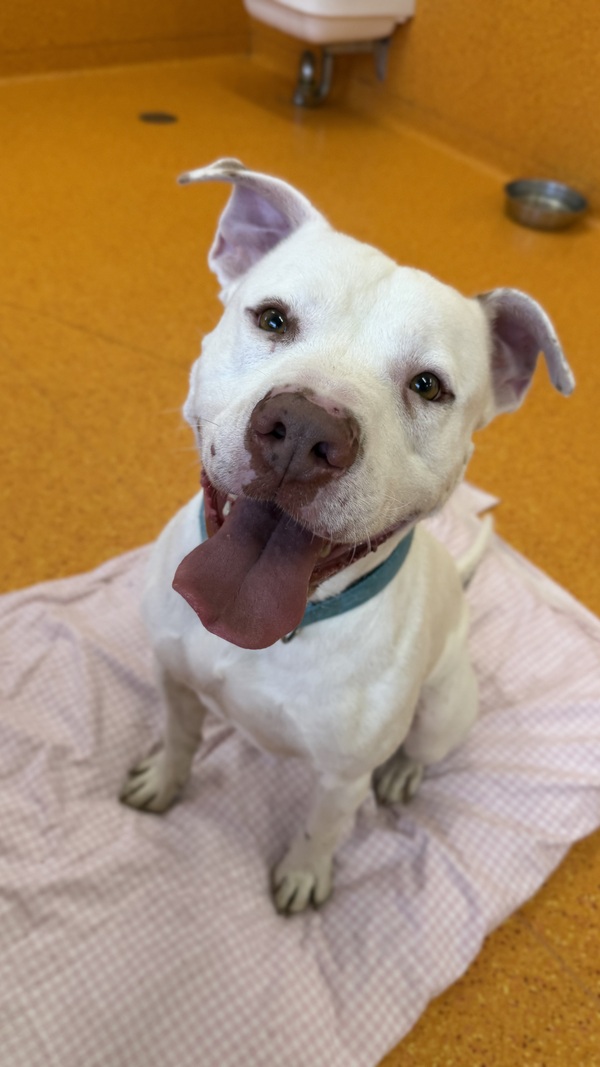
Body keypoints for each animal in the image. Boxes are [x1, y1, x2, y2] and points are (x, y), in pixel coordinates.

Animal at [120, 158, 574, 914]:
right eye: (273, 318)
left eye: (429, 386)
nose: (304, 430)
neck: (274, 632)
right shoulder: (174, 679)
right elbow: (182, 736)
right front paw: (164, 777)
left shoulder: (341, 777)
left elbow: (323, 827)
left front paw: (304, 874)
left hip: (443, 707)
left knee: (421, 748)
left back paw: (403, 775)